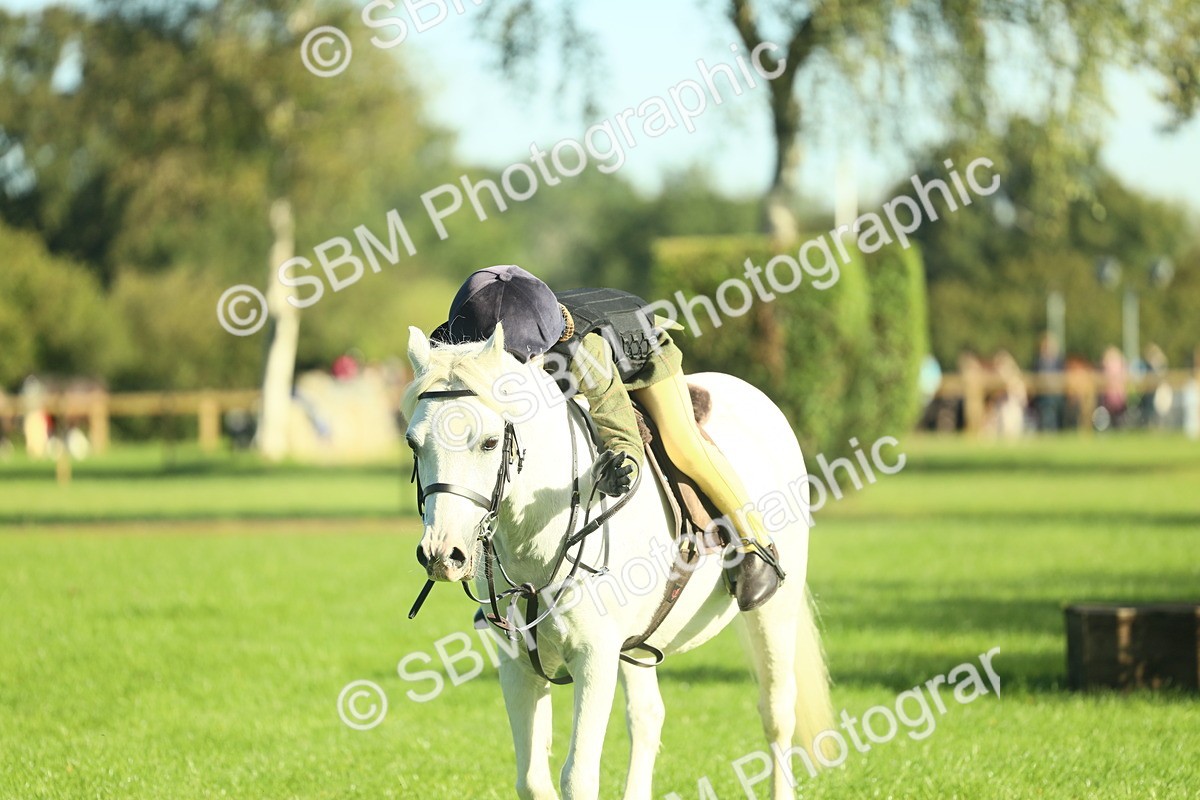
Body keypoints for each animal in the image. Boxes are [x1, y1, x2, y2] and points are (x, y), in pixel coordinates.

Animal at [403, 323, 833, 800]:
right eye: (413, 443)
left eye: (490, 442)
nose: (442, 553)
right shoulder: (518, 664)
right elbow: (532, 780)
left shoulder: (595, 656)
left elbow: (577, 775)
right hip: (639, 642)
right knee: (647, 716)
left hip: (774, 612)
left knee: (777, 711)